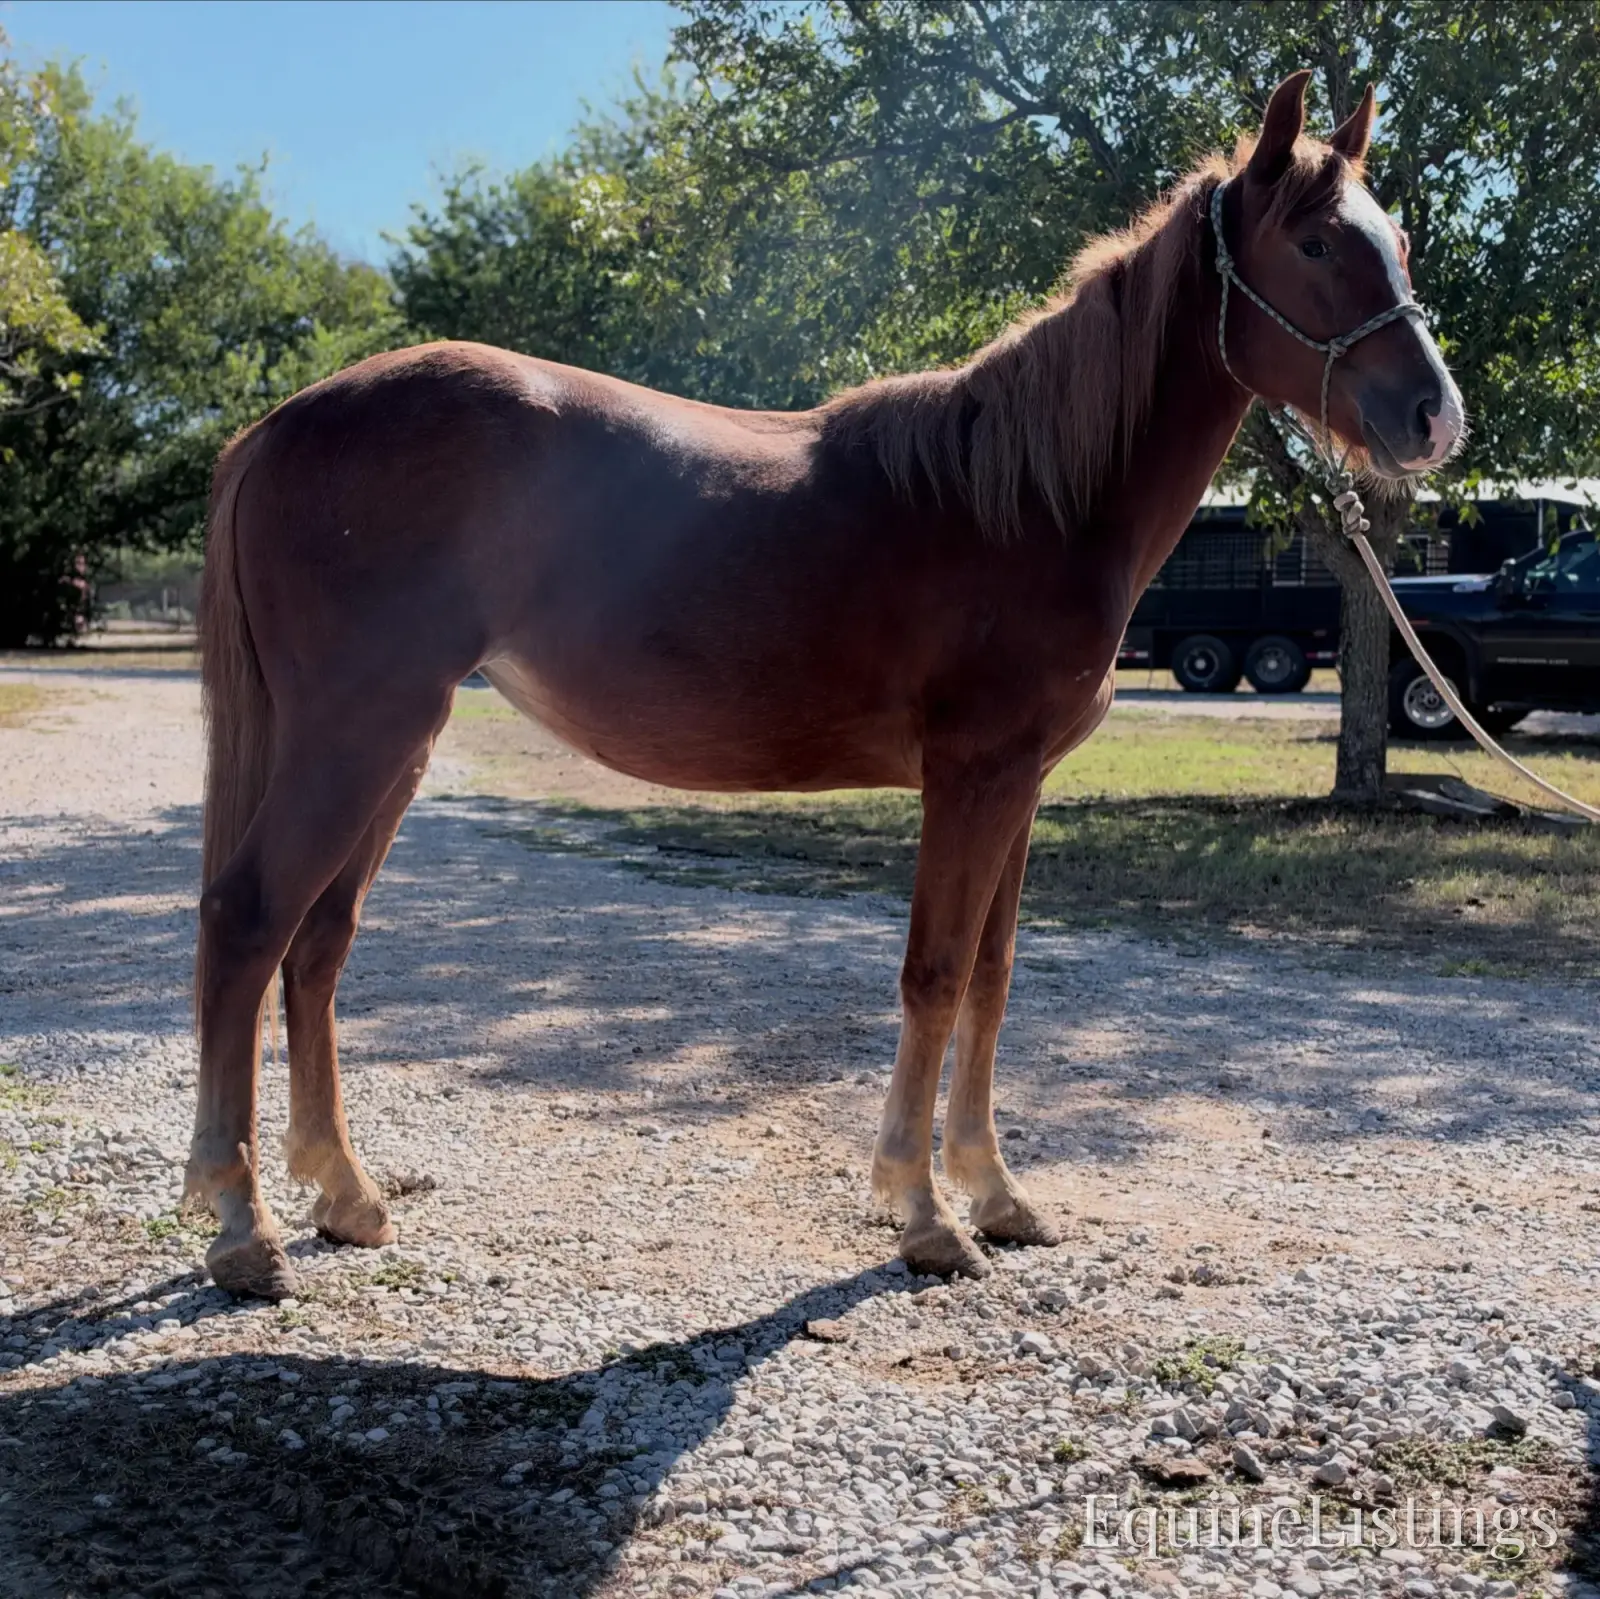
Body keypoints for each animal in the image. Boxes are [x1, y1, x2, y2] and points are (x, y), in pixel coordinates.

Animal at [186, 72, 1463, 1299]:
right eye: (1314, 242)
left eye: (1394, 235)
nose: (1432, 416)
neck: (1028, 497)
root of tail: (281, 423)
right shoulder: (971, 777)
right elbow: (934, 976)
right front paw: (926, 1215)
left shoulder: (1021, 786)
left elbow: (992, 978)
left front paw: (996, 1193)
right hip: (355, 733)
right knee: (249, 919)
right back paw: (242, 1227)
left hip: (392, 744)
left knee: (319, 940)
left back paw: (344, 1196)